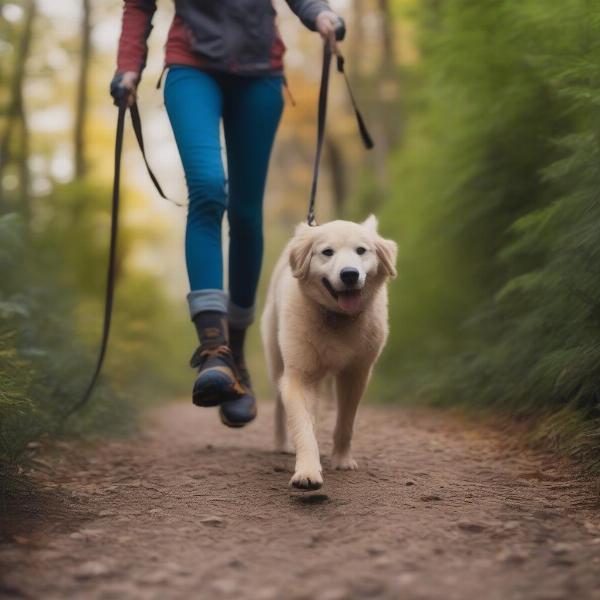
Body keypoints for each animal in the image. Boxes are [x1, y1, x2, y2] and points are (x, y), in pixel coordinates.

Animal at [260, 214, 396, 488]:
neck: (337, 319)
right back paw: (282, 444)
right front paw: (307, 472)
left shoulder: (356, 374)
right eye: (327, 252)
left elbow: (345, 423)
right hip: (276, 361)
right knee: (280, 408)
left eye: (361, 250)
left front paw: (342, 460)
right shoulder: (299, 375)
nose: (350, 274)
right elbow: (303, 427)